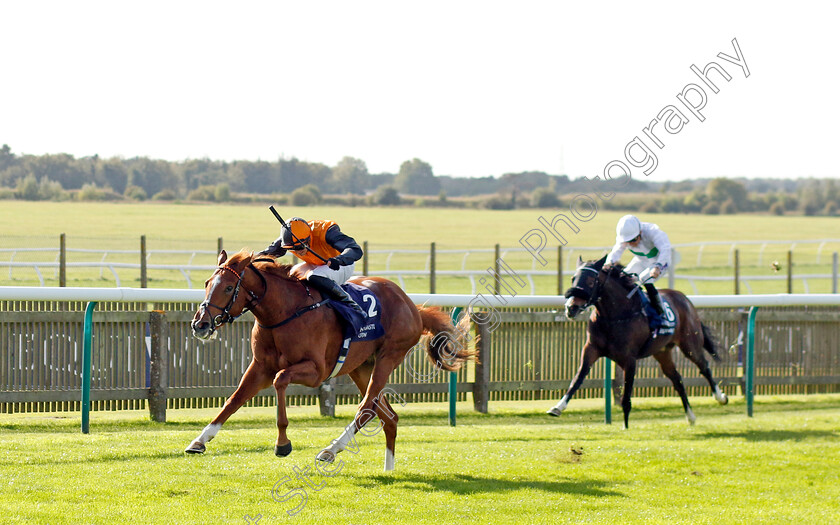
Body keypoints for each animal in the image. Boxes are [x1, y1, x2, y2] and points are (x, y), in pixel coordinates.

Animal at [185, 250, 472, 470]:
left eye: (229, 287)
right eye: (207, 283)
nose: (200, 324)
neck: (283, 312)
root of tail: (414, 308)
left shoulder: (316, 372)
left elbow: (280, 381)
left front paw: (282, 443)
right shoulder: (260, 367)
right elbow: (233, 400)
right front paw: (199, 440)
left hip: (389, 357)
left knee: (367, 408)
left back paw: (331, 450)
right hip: (361, 366)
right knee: (388, 416)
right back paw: (388, 469)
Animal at [548, 255, 724, 430]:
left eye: (591, 281)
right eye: (573, 279)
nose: (571, 308)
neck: (615, 316)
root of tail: (685, 299)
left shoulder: (629, 359)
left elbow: (626, 394)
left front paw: (625, 427)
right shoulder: (591, 349)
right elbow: (578, 378)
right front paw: (557, 407)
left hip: (690, 344)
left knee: (704, 366)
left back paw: (720, 397)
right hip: (662, 351)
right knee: (677, 379)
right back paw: (691, 416)